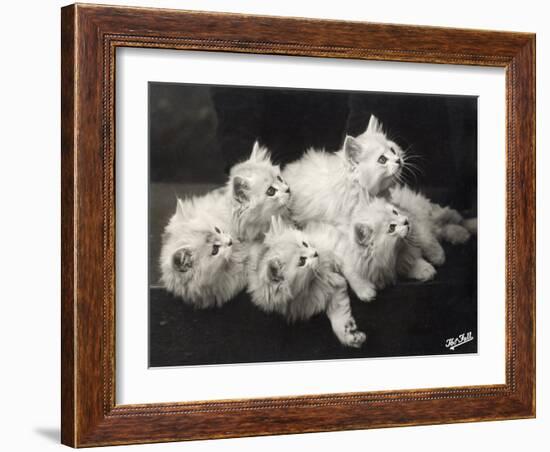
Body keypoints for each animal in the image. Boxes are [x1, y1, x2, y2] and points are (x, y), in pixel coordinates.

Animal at [249, 217, 366, 348]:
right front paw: (348, 334)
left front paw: (365, 289)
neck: (312, 281)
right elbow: (339, 317)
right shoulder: (329, 290)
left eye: (305, 244)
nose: (315, 253)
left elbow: (350, 268)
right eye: (302, 261)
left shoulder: (333, 242)